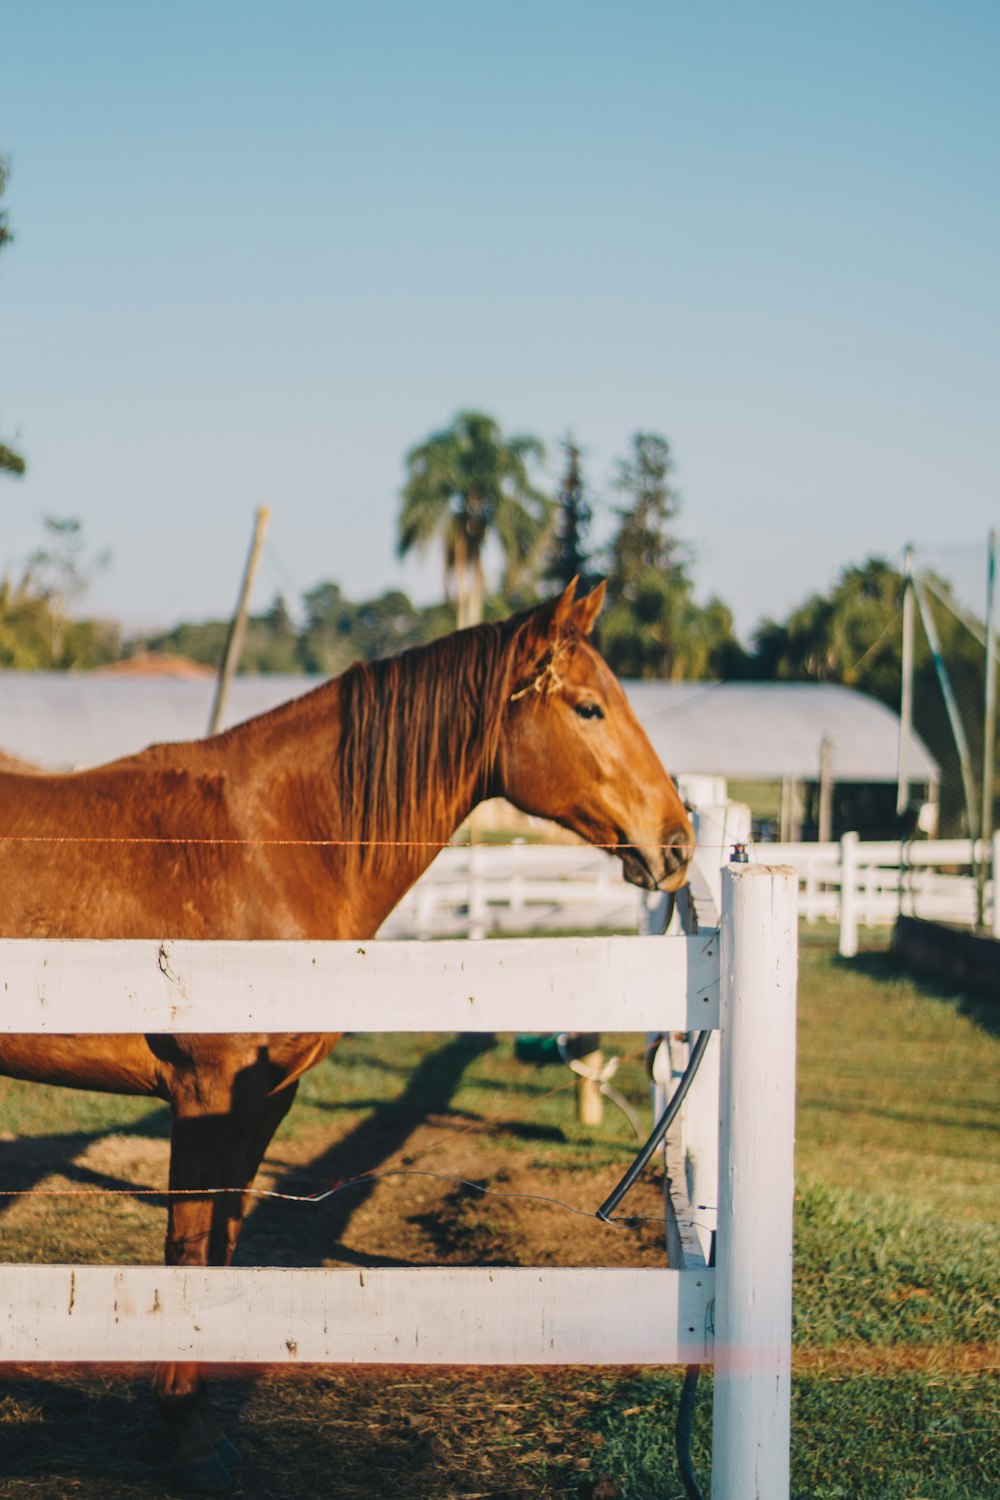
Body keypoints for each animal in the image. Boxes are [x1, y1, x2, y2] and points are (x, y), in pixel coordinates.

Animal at [0, 573, 689, 1488]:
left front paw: (203, 1420)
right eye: (588, 708)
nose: (678, 843)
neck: (270, 841)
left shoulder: (263, 1101)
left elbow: (219, 1241)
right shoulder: (207, 1094)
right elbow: (188, 1245)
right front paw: (189, 1436)